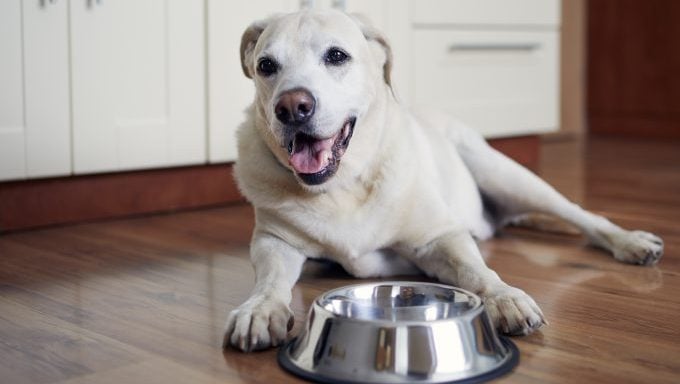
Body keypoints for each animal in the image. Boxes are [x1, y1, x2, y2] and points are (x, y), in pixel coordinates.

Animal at [223, 9, 664, 352]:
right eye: (266, 66)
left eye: (336, 56)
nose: (291, 107)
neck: (343, 186)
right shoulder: (274, 241)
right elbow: (269, 280)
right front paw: (260, 309)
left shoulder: (440, 236)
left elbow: (477, 271)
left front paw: (504, 298)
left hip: (506, 174)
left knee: (584, 216)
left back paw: (631, 242)